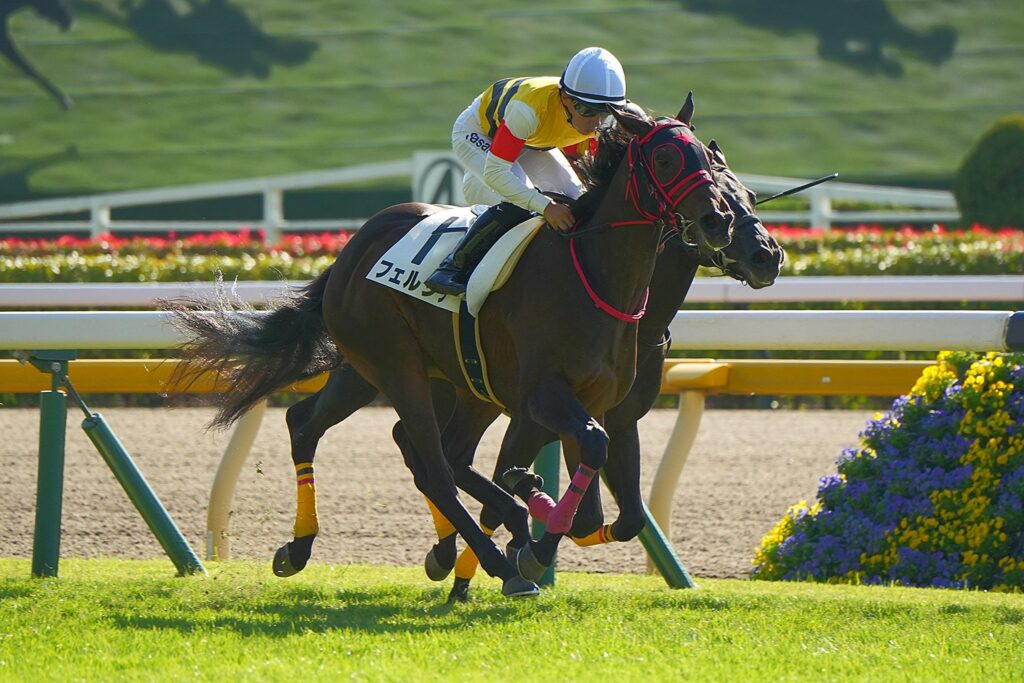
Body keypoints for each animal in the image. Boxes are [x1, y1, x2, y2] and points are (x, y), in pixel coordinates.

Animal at [167, 96, 733, 598]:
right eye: (665, 158)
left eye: (709, 160)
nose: (718, 221)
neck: (594, 276)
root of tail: (351, 248)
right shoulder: (542, 397)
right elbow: (585, 452)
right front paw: (531, 542)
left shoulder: (600, 402)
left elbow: (607, 509)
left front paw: (531, 508)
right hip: (396, 366)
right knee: (434, 466)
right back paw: (500, 564)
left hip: (395, 374)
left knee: (313, 425)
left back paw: (302, 548)